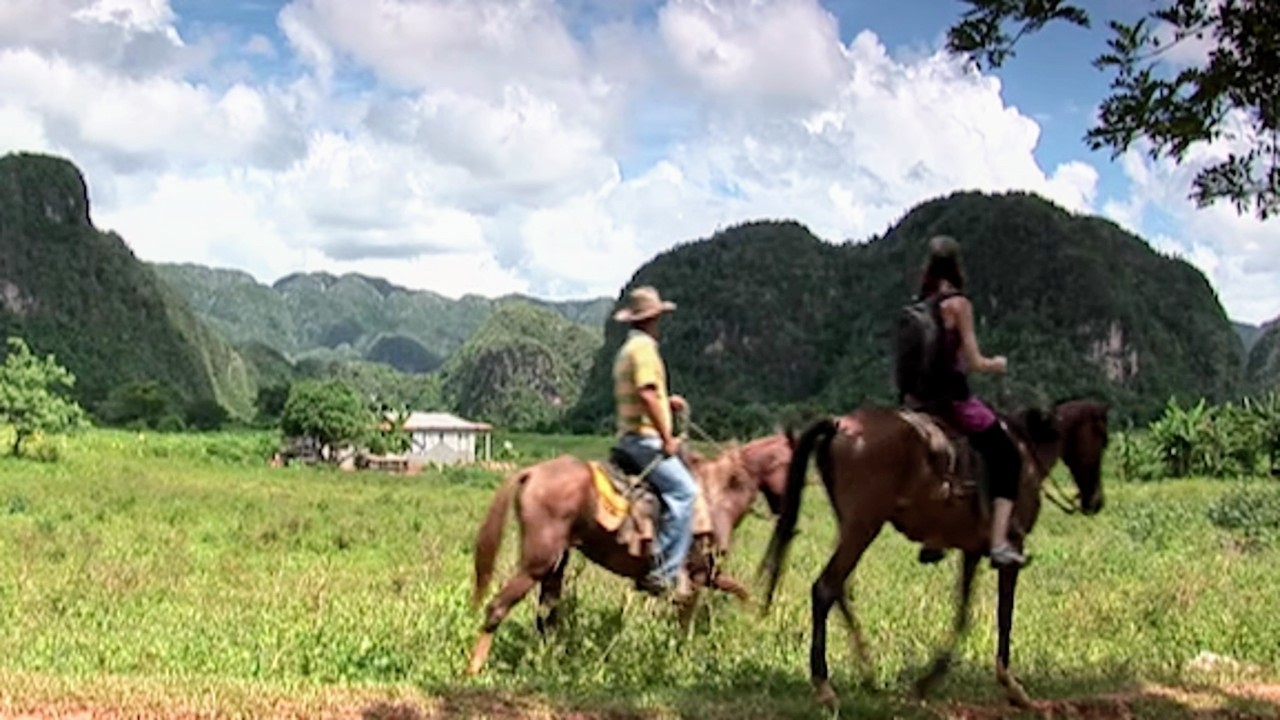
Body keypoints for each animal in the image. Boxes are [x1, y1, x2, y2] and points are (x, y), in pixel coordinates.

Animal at [465, 430, 793, 671]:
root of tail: (532, 472)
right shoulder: (696, 577)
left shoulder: (708, 575)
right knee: (498, 608)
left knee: (546, 615)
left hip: (556, 564)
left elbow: (742, 592)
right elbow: (685, 623)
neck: (718, 496)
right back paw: (474, 669)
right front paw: (680, 659)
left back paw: (551, 662)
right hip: (537, 563)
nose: (785, 510)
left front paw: (754, 624)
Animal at [757, 397, 1111, 707]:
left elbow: (963, 614)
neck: (1027, 451)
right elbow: (1004, 614)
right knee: (825, 588)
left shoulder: (972, 551)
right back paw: (825, 686)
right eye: (1103, 440)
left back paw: (867, 673)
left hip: (849, 526)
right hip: (863, 527)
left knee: (840, 590)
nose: (1095, 501)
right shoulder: (1012, 548)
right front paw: (1012, 687)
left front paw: (926, 682)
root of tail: (840, 425)